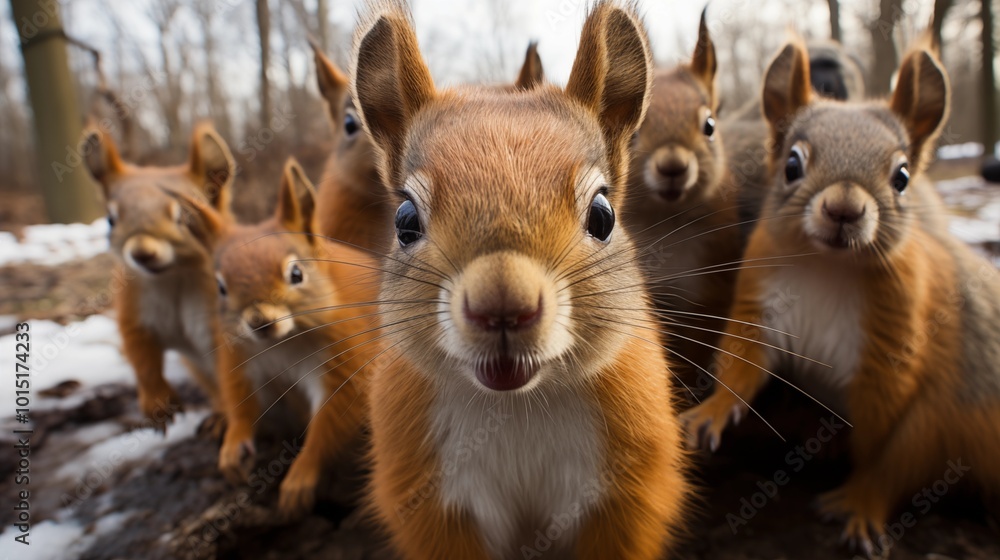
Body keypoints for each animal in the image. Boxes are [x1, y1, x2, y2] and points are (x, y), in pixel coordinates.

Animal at [81, 123, 235, 432]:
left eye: (186, 217)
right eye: (110, 220)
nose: (142, 253)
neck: (172, 278)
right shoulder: (134, 312)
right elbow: (142, 357)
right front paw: (157, 404)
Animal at [205, 158, 382, 516]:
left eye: (296, 273)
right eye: (220, 287)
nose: (260, 322)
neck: (281, 343)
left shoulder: (345, 357)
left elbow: (333, 418)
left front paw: (300, 478)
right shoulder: (239, 359)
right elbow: (241, 402)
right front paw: (232, 446)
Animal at [348, 1, 689, 558]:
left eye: (603, 216)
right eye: (404, 220)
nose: (502, 305)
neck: (515, 405)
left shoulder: (628, 490)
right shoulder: (431, 499)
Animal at [680, 38, 1000, 556]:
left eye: (902, 176)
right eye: (791, 164)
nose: (843, 210)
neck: (827, 266)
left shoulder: (896, 356)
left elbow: (884, 453)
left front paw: (861, 501)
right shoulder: (761, 305)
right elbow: (743, 365)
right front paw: (709, 413)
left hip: (944, 412)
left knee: (908, 457)